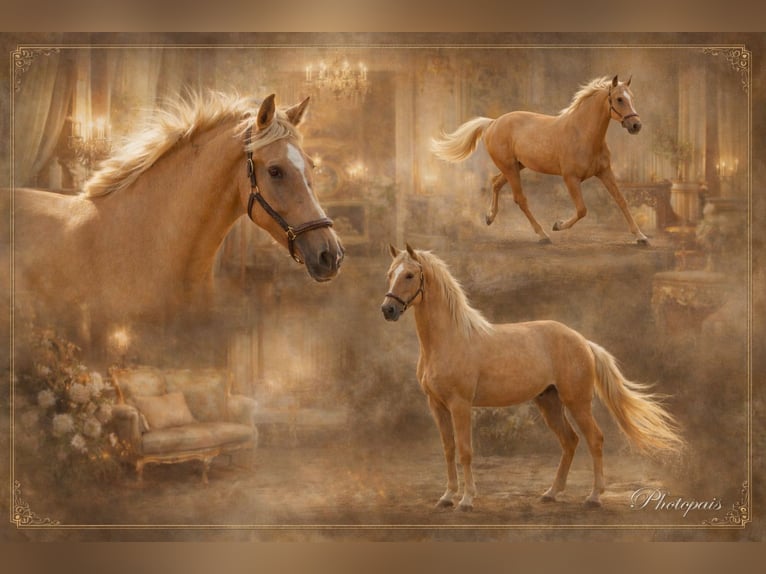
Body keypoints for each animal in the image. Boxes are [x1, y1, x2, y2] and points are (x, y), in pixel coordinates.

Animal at [380, 245, 683, 510]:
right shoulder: (437, 405)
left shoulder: (460, 405)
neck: (450, 339)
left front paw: (466, 501)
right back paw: (551, 493)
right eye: (390, 274)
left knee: (594, 439)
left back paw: (594, 497)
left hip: (577, 403)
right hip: (549, 402)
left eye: (409, 275)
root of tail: (583, 341)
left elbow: (465, 451)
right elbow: (448, 449)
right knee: (570, 441)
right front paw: (446, 498)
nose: (388, 310)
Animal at [431, 75, 649, 245]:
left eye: (632, 98)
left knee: (496, 183)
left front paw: (641, 237)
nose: (636, 125)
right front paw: (558, 225)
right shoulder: (570, 178)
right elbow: (582, 210)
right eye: (619, 99)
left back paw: (490, 217)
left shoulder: (604, 172)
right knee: (520, 199)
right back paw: (543, 235)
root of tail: (493, 123)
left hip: (516, 166)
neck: (583, 134)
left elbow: (621, 201)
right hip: (510, 168)